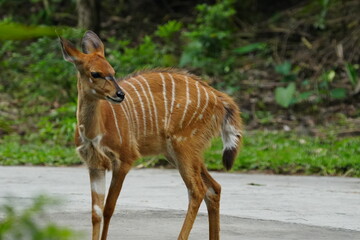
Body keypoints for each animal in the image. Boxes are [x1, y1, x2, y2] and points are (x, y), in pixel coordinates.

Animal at [60, 31, 243, 239]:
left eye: (112, 71)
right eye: (95, 73)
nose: (119, 94)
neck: (96, 131)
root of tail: (219, 99)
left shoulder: (124, 158)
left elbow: (109, 209)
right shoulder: (94, 164)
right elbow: (95, 213)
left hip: (184, 146)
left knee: (197, 189)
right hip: (180, 152)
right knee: (213, 188)